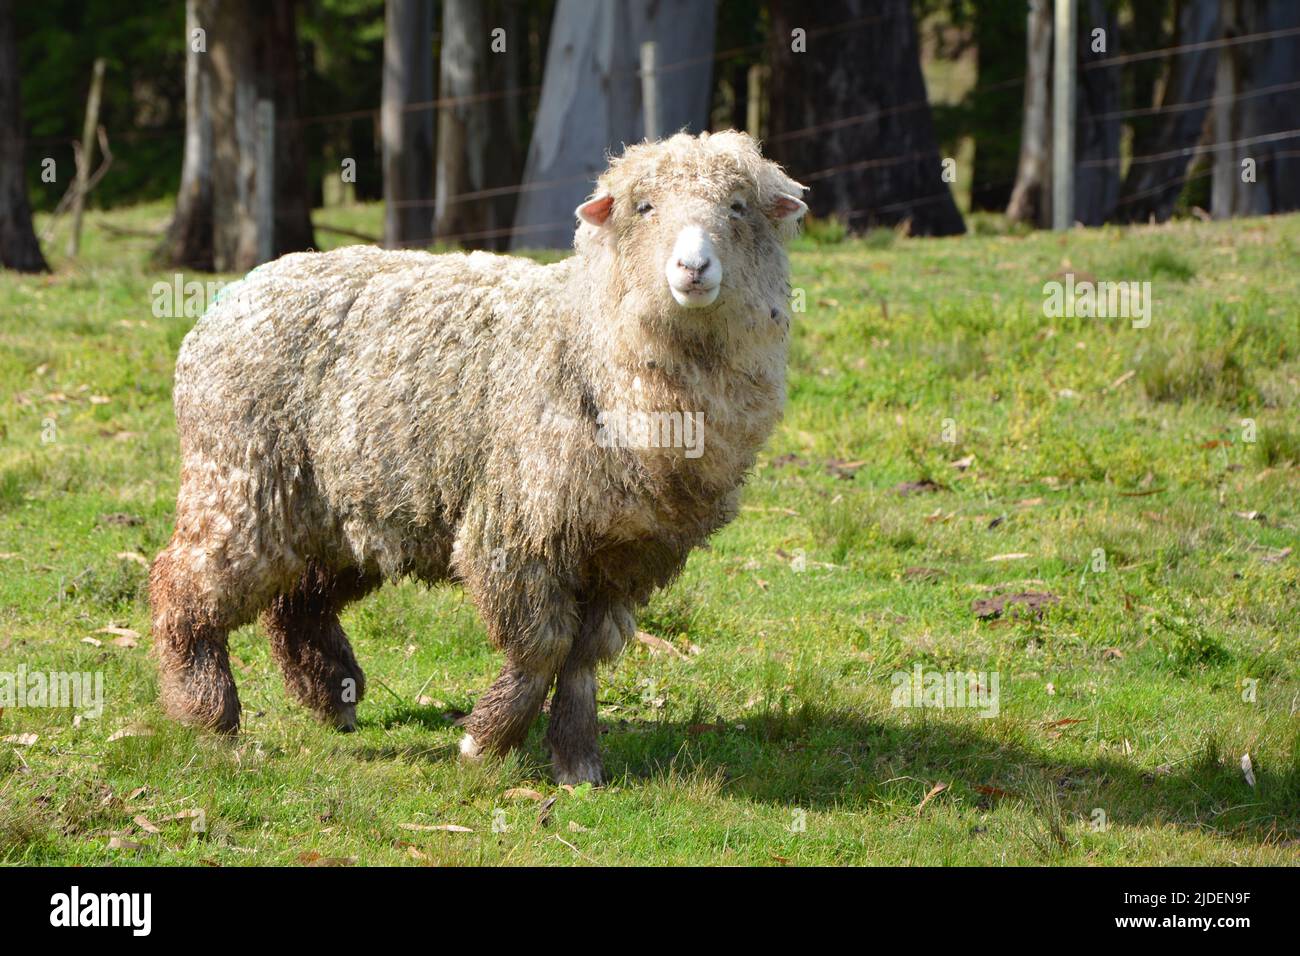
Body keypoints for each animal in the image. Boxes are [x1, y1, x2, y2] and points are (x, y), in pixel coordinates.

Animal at [150, 129, 807, 784]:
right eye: (643, 207)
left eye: (738, 208)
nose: (693, 268)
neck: (587, 343)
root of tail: (236, 293)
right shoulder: (517, 528)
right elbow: (541, 646)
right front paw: (488, 740)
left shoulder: (630, 554)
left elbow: (584, 658)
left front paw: (577, 760)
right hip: (238, 480)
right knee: (183, 582)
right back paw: (207, 711)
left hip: (341, 508)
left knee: (297, 602)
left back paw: (331, 695)